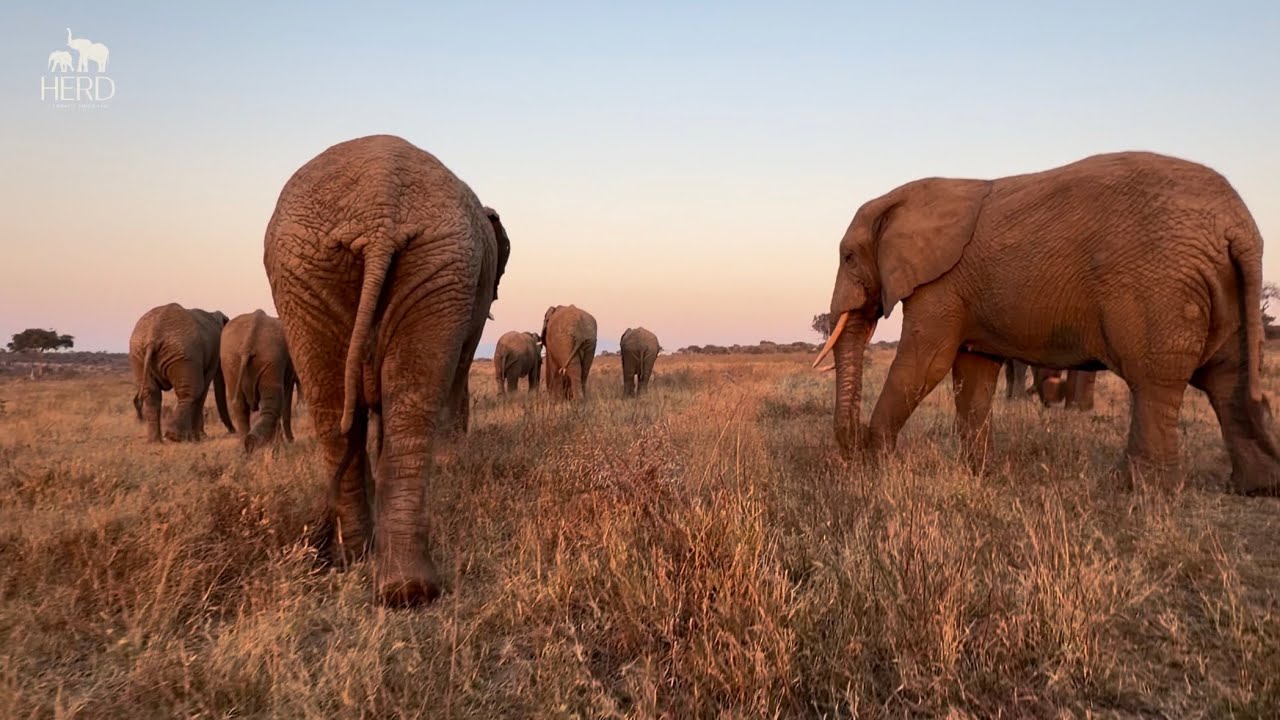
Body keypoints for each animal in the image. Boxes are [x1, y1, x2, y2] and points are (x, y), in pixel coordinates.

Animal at [129, 303, 234, 442]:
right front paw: (199, 438)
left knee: (151, 393)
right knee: (191, 391)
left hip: (139, 355)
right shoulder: (214, 351)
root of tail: (153, 336)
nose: (232, 432)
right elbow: (204, 388)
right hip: (183, 355)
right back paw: (175, 437)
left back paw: (156, 441)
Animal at [220, 310, 298, 453]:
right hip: (270, 358)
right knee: (273, 403)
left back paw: (245, 447)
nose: (292, 440)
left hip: (230, 361)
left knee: (240, 405)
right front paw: (289, 442)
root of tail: (248, 343)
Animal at [263, 134, 510, 606]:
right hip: (323, 264)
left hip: (415, 262)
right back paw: (389, 576)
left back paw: (387, 576)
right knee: (380, 402)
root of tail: (380, 211)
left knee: (354, 406)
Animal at [815, 151, 1279, 496]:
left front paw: (876, 465)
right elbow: (973, 375)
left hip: (1161, 284)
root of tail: (1240, 227)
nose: (851, 442)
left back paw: (1140, 490)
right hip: (1221, 284)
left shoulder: (941, 284)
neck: (902, 196)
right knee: (1228, 379)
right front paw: (978, 473)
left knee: (1155, 382)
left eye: (848, 257)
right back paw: (1255, 488)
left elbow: (924, 363)